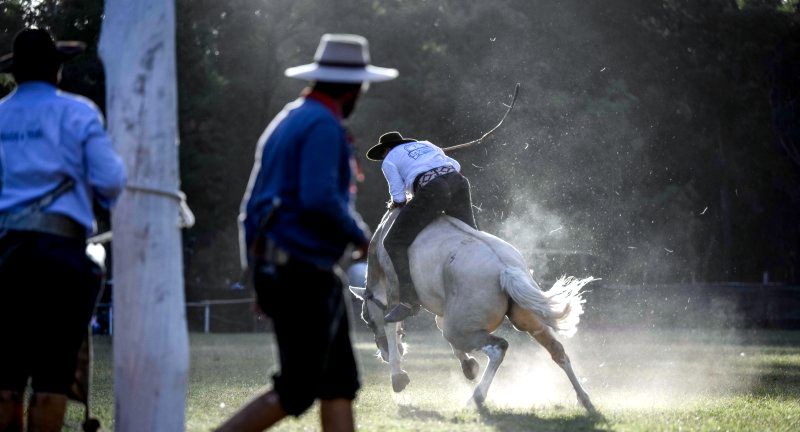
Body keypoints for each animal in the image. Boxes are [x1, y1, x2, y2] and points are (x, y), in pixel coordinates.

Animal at [349, 208, 598, 413]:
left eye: (367, 319)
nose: (383, 354)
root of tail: (506, 269)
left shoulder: (394, 289)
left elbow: (391, 324)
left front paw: (398, 377)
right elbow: (438, 327)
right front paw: (468, 365)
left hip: (461, 330)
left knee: (498, 348)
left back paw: (476, 398)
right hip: (528, 320)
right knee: (558, 351)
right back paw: (585, 399)